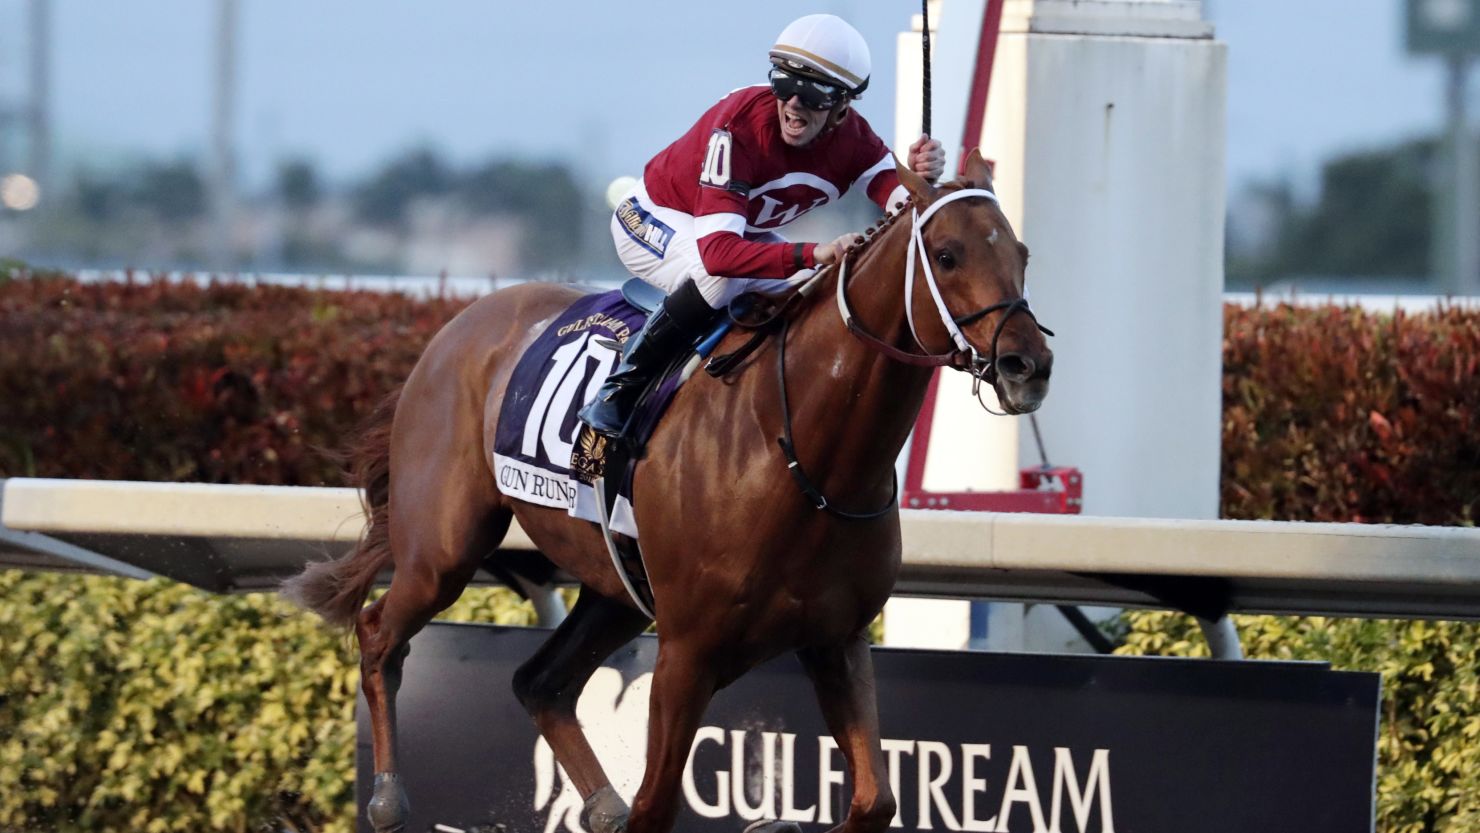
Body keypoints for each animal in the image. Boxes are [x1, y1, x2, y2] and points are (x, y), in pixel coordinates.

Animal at [282, 153, 1053, 833]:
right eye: (947, 255)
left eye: (1021, 252)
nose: (1028, 363)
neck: (802, 454)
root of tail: (455, 327)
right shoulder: (687, 651)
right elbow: (657, 808)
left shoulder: (836, 638)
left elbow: (872, 802)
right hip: (442, 549)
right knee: (380, 633)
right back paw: (388, 797)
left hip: (615, 587)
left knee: (541, 683)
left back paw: (601, 805)